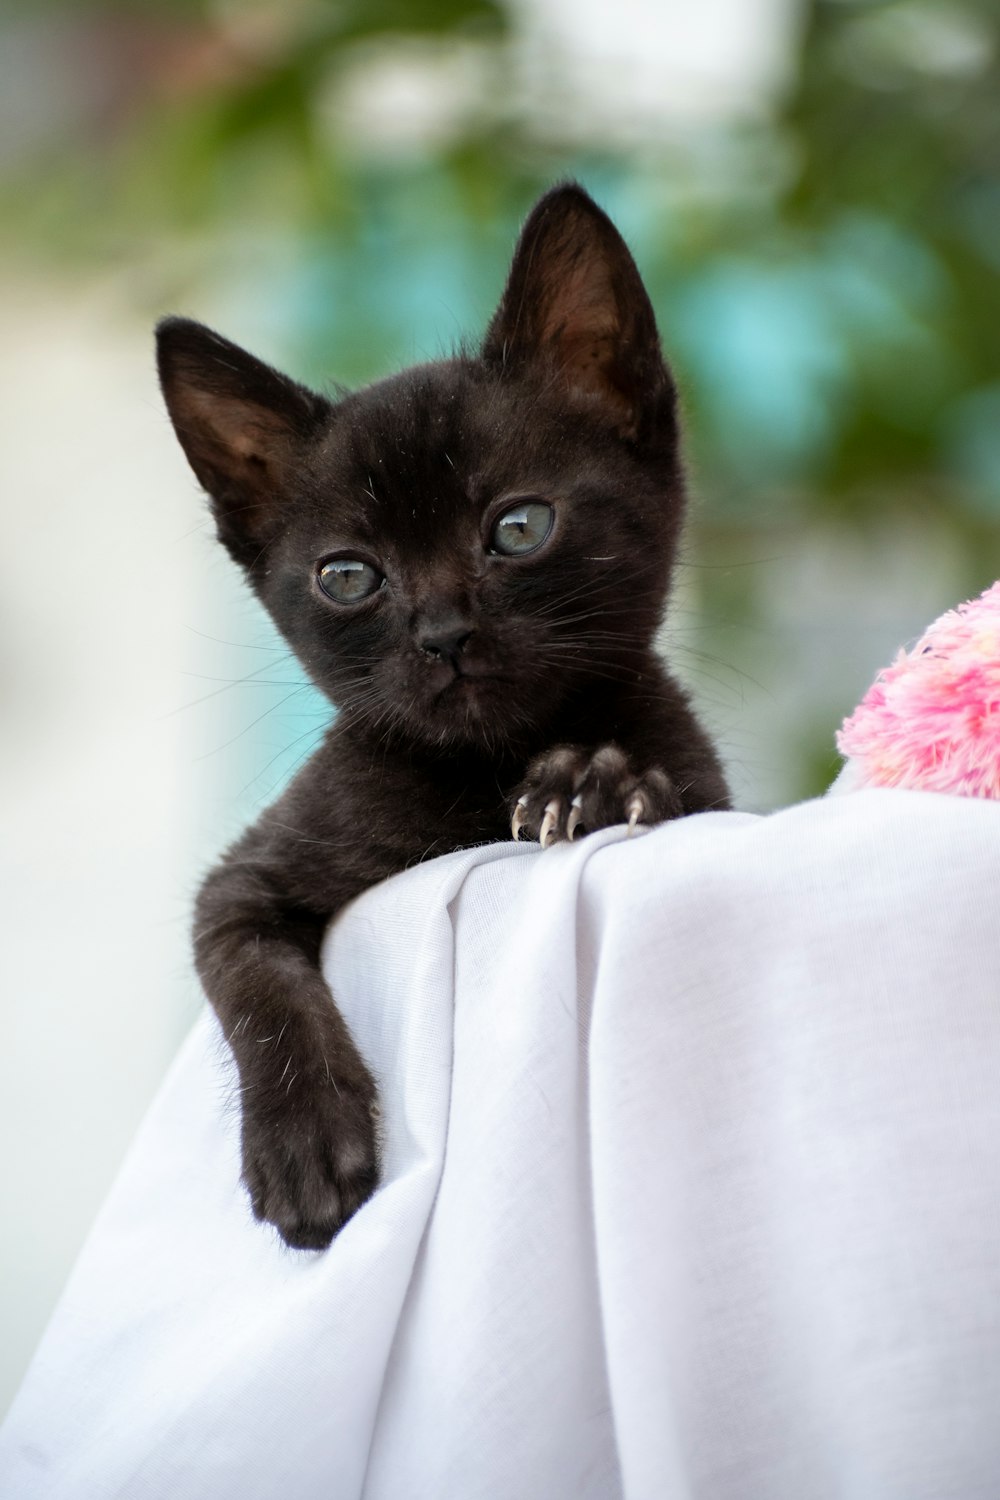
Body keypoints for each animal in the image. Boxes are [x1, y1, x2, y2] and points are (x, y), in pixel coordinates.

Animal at [160, 181, 731, 1248]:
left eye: (519, 527)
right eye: (349, 577)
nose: (443, 633)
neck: (480, 769)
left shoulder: (717, 799)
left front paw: (588, 782)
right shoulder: (243, 877)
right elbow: (256, 976)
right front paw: (304, 1146)